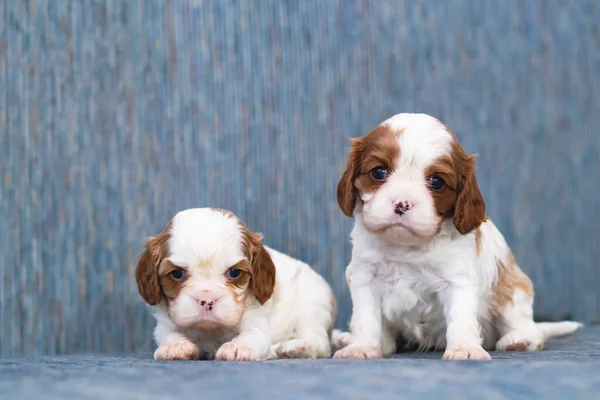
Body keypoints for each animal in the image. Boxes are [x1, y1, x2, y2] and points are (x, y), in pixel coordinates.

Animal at [135, 208, 338, 360]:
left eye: (234, 272)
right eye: (177, 273)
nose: (207, 300)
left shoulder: (257, 322)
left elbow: (252, 335)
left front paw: (238, 347)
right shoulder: (165, 324)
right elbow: (168, 334)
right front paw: (175, 345)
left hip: (312, 306)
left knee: (320, 343)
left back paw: (294, 348)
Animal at [332, 112, 580, 360]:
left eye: (437, 182)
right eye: (378, 172)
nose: (402, 203)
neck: (408, 247)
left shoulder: (457, 281)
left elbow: (460, 318)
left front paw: (464, 348)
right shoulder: (365, 277)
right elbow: (366, 318)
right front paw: (361, 346)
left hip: (514, 291)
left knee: (527, 327)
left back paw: (518, 339)